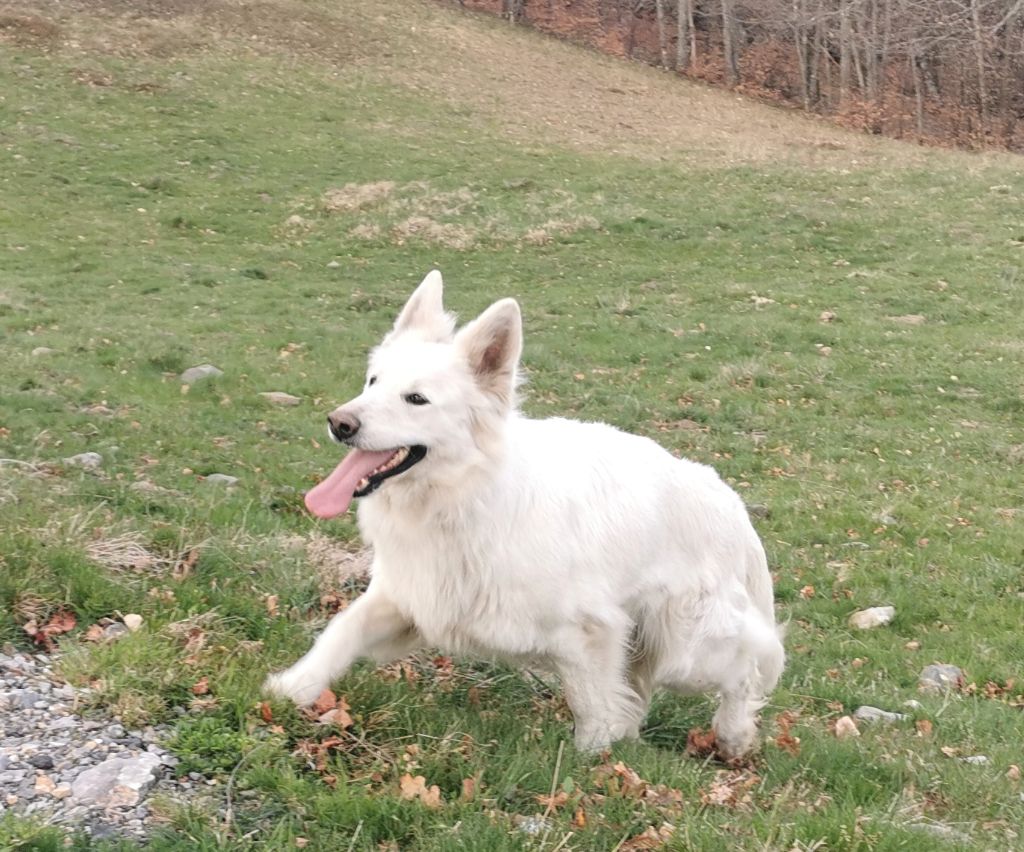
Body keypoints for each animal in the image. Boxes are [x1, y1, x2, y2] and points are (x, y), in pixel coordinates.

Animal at [266, 270, 782, 757]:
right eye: (373, 382)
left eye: (416, 399)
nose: (339, 423)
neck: (464, 497)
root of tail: (729, 500)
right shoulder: (409, 598)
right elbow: (340, 632)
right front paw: (292, 688)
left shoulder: (590, 634)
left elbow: (591, 705)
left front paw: (593, 762)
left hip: (687, 649)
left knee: (750, 664)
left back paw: (734, 735)